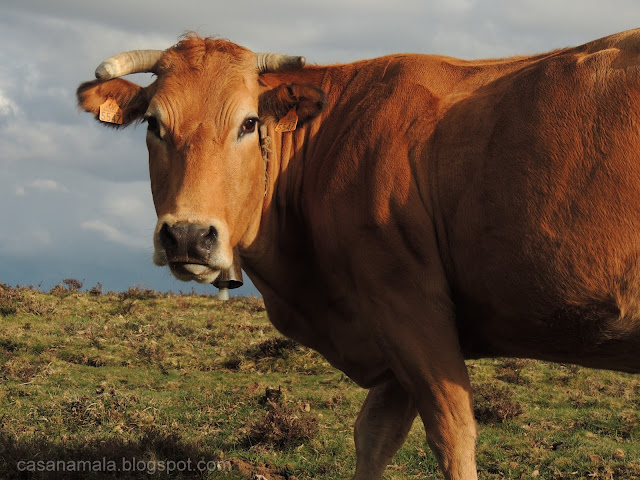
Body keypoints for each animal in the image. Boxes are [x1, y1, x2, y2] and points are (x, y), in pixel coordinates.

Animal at [77, 30, 640, 480]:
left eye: (248, 123)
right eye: (154, 124)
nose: (189, 235)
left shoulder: (407, 305)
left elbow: (453, 434)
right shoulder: (389, 340)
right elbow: (373, 438)